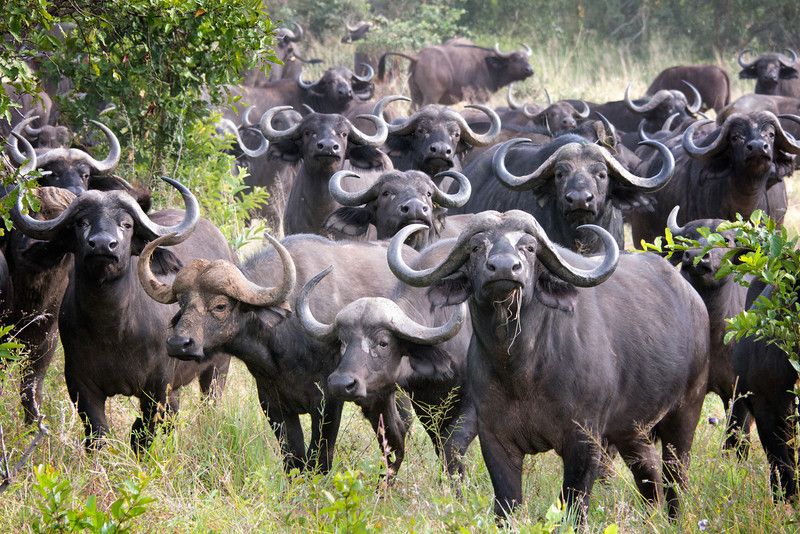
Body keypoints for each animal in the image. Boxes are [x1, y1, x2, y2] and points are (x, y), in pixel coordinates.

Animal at [12, 177, 232, 450]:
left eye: (126, 224)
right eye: (81, 222)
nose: (103, 244)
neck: (113, 331)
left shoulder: (157, 389)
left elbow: (143, 436)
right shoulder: (80, 385)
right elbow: (98, 435)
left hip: (218, 368)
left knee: (209, 401)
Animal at [379, 40, 533, 107]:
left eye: (526, 58)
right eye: (514, 59)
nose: (530, 70)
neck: (488, 65)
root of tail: (418, 57)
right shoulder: (479, 98)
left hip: (415, 94)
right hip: (431, 96)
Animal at [387, 211, 709, 520]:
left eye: (529, 248)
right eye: (477, 247)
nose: (504, 268)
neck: (521, 370)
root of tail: (693, 299)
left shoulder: (584, 440)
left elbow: (574, 506)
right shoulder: (494, 438)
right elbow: (506, 505)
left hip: (685, 413)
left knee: (675, 474)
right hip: (632, 429)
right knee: (648, 469)